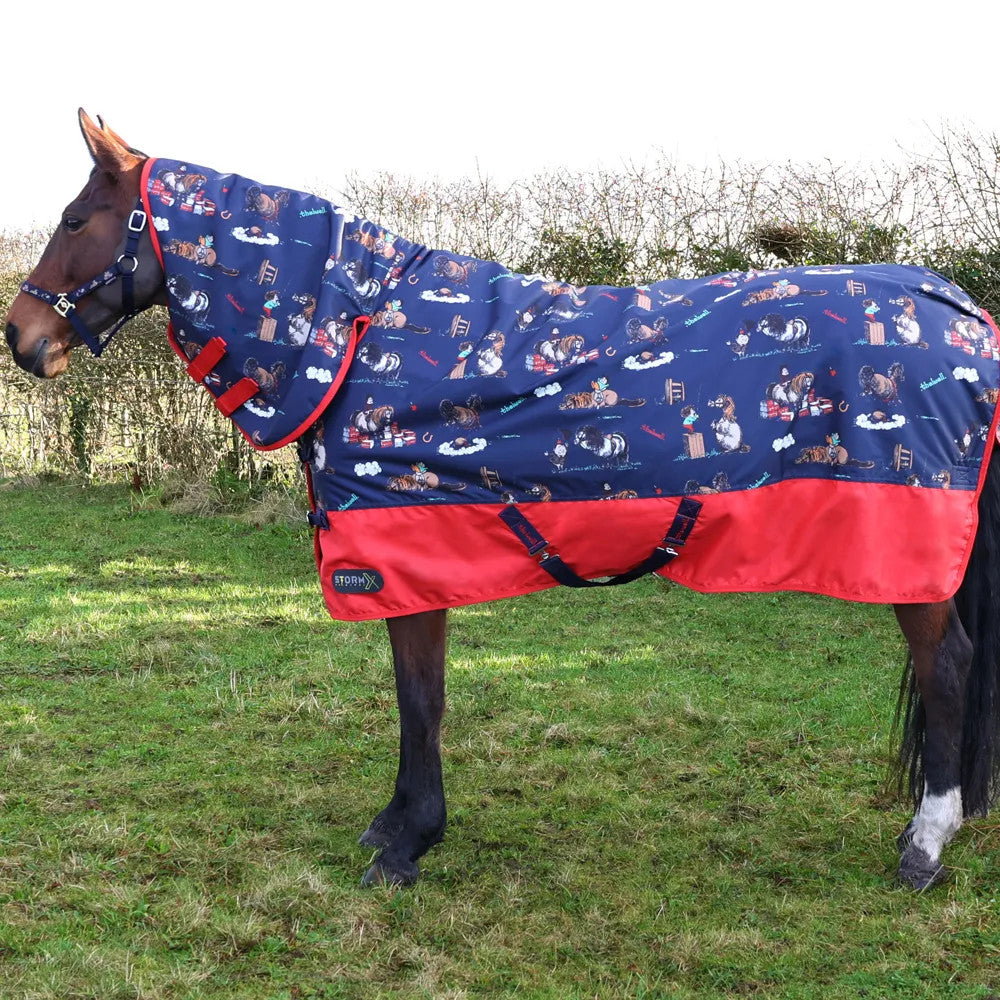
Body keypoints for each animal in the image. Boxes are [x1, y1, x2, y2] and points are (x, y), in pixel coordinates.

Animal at [6, 111, 1000, 892]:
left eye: (76, 218)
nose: (23, 338)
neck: (361, 335)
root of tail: (957, 311)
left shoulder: (400, 560)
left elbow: (418, 701)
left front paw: (407, 844)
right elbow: (423, 699)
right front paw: (397, 825)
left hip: (906, 549)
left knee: (949, 664)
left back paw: (924, 845)